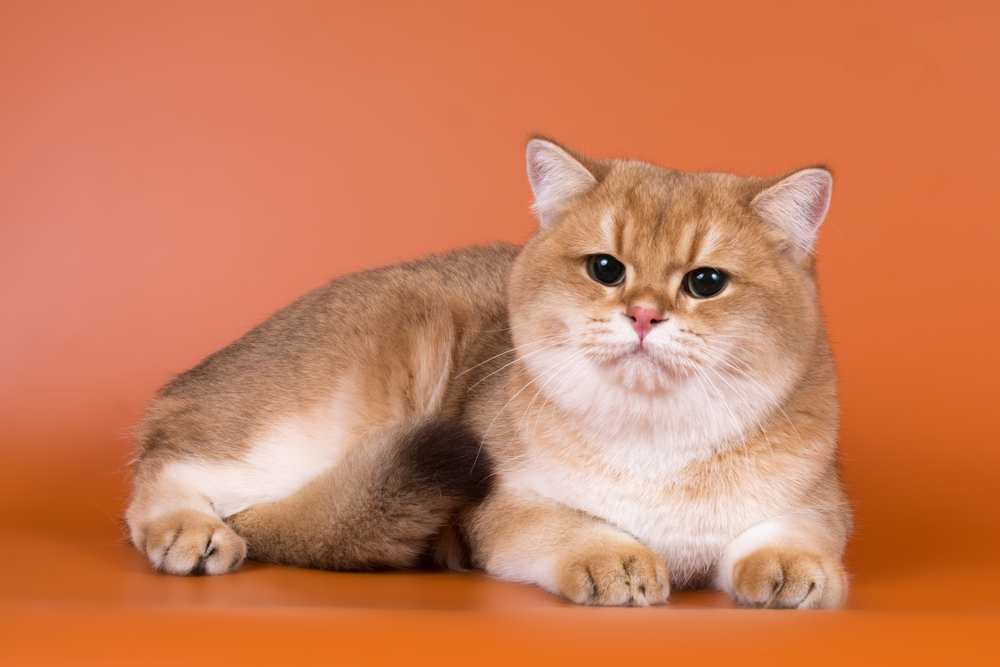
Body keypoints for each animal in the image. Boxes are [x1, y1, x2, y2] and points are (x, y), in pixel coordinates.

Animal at [125, 137, 852, 612]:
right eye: (605, 268)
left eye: (706, 282)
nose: (644, 316)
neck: (655, 440)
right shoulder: (504, 509)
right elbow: (569, 526)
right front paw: (614, 556)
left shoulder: (817, 502)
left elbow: (791, 533)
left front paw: (792, 565)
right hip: (334, 403)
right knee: (173, 466)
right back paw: (188, 529)